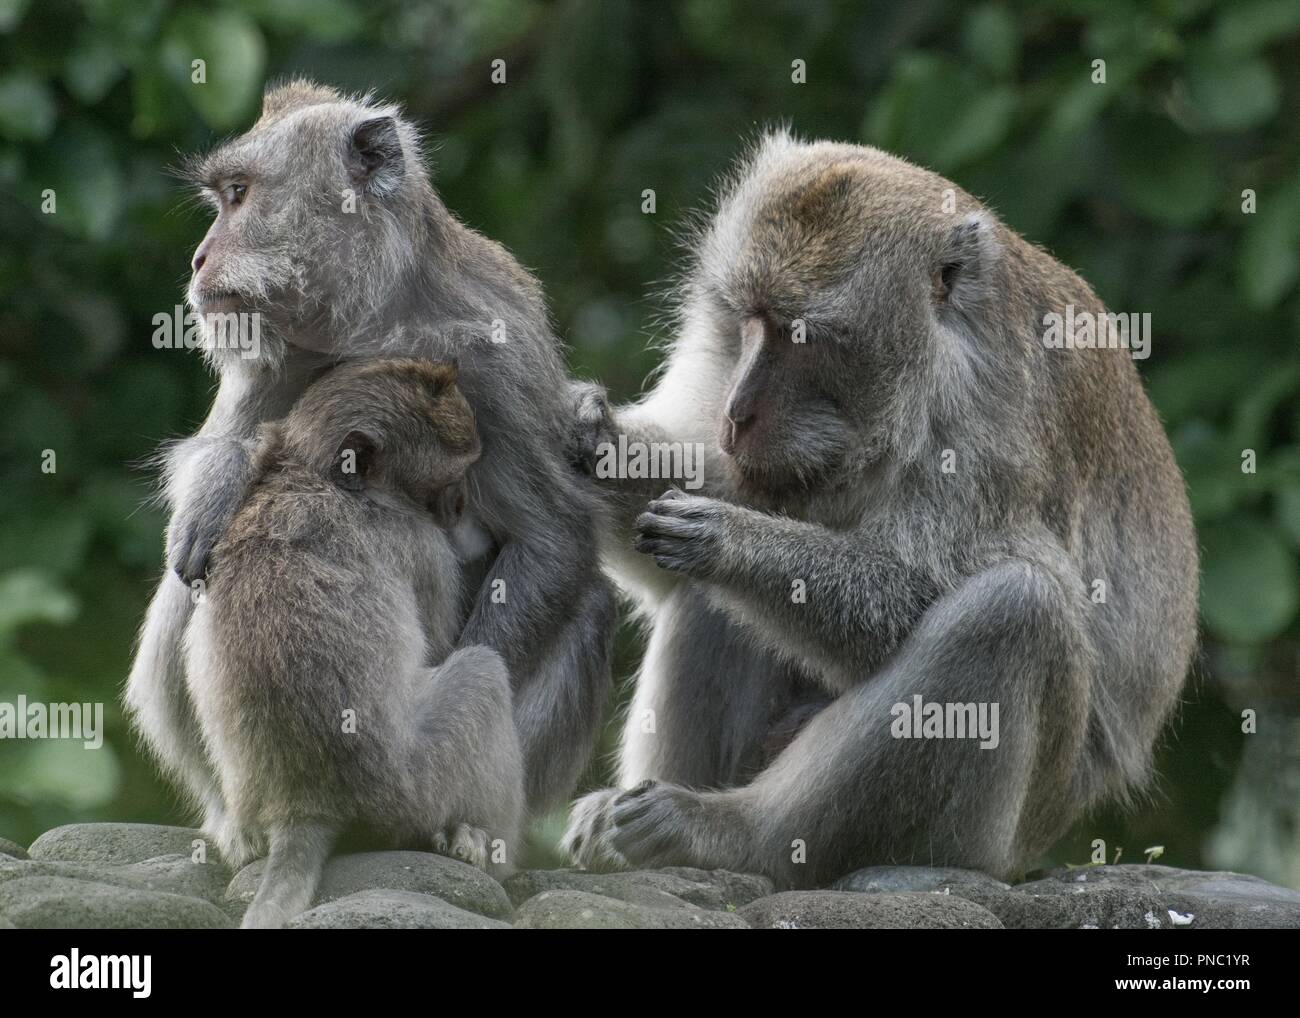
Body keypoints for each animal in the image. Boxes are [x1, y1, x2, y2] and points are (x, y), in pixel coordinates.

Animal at [126, 81, 613, 826]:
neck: (375, 319)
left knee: (588, 608)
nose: (199, 259)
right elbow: (204, 458)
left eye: (238, 194)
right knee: (189, 583)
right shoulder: (270, 357)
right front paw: (220, 477)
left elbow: (550, 535)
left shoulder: (492, 353)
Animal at [185, 358, 520, 930]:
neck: (314, 475)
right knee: (483, 673)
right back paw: (483, 846)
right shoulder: (421, 544)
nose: (459, 508)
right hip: (416, 785)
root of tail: (305, 804)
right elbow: (437, 644)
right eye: (448, 480)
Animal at [564, 133, 1190, 884]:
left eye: (802, 336)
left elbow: (908, 605)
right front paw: (596, 440)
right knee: (708, 603)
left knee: (1015, 612)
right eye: (748, 319)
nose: (736, 412)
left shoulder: (987, 431)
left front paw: (731, 540)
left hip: (983, 841)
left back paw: (731, 835)